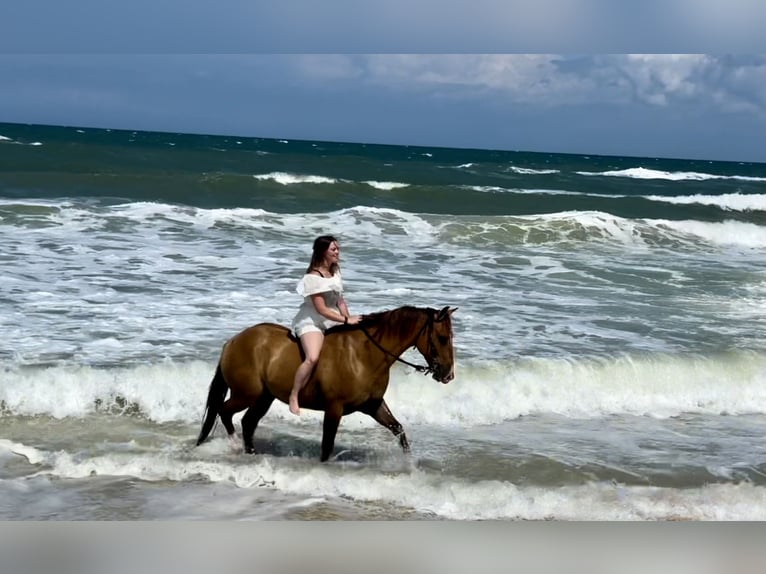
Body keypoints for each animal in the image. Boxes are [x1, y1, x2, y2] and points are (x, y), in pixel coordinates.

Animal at [196, 306, 456, 464]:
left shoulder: (373, 405)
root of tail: (233, 341)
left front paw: (408, 463)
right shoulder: (334, 408)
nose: (448, 375)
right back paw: (233, 445)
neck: (364, 355)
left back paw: (250, 452)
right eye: (443, 338)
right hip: (247, 394)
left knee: (248, 422)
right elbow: (327, 445)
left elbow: (399, 429)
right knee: (224, 411)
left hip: (264, 398)